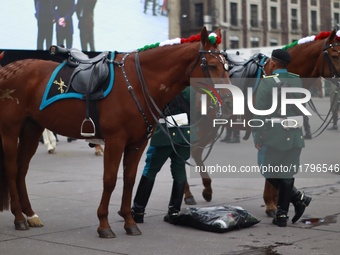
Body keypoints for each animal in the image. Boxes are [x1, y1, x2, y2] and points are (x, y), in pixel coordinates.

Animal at [0, 26, 231, 238]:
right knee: (11, 170)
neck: (136, 83)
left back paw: (30, 214)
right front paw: (104, 223)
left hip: (32, 129)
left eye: (227, 66)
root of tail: (8, 69)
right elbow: (110, 180)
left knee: (21, 170)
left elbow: (129, 180)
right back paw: (19, 217)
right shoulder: (115, 141)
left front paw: (129, 220)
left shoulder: (137, 144)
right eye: (211, 65)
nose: (230, 101)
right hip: (10, 131)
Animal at [183, 29, 340, 213]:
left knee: (195, 152)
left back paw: (207, 189)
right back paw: (188, 193)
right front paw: (271, 203)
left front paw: (276, 200)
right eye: (335, 55)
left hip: (210, 125)